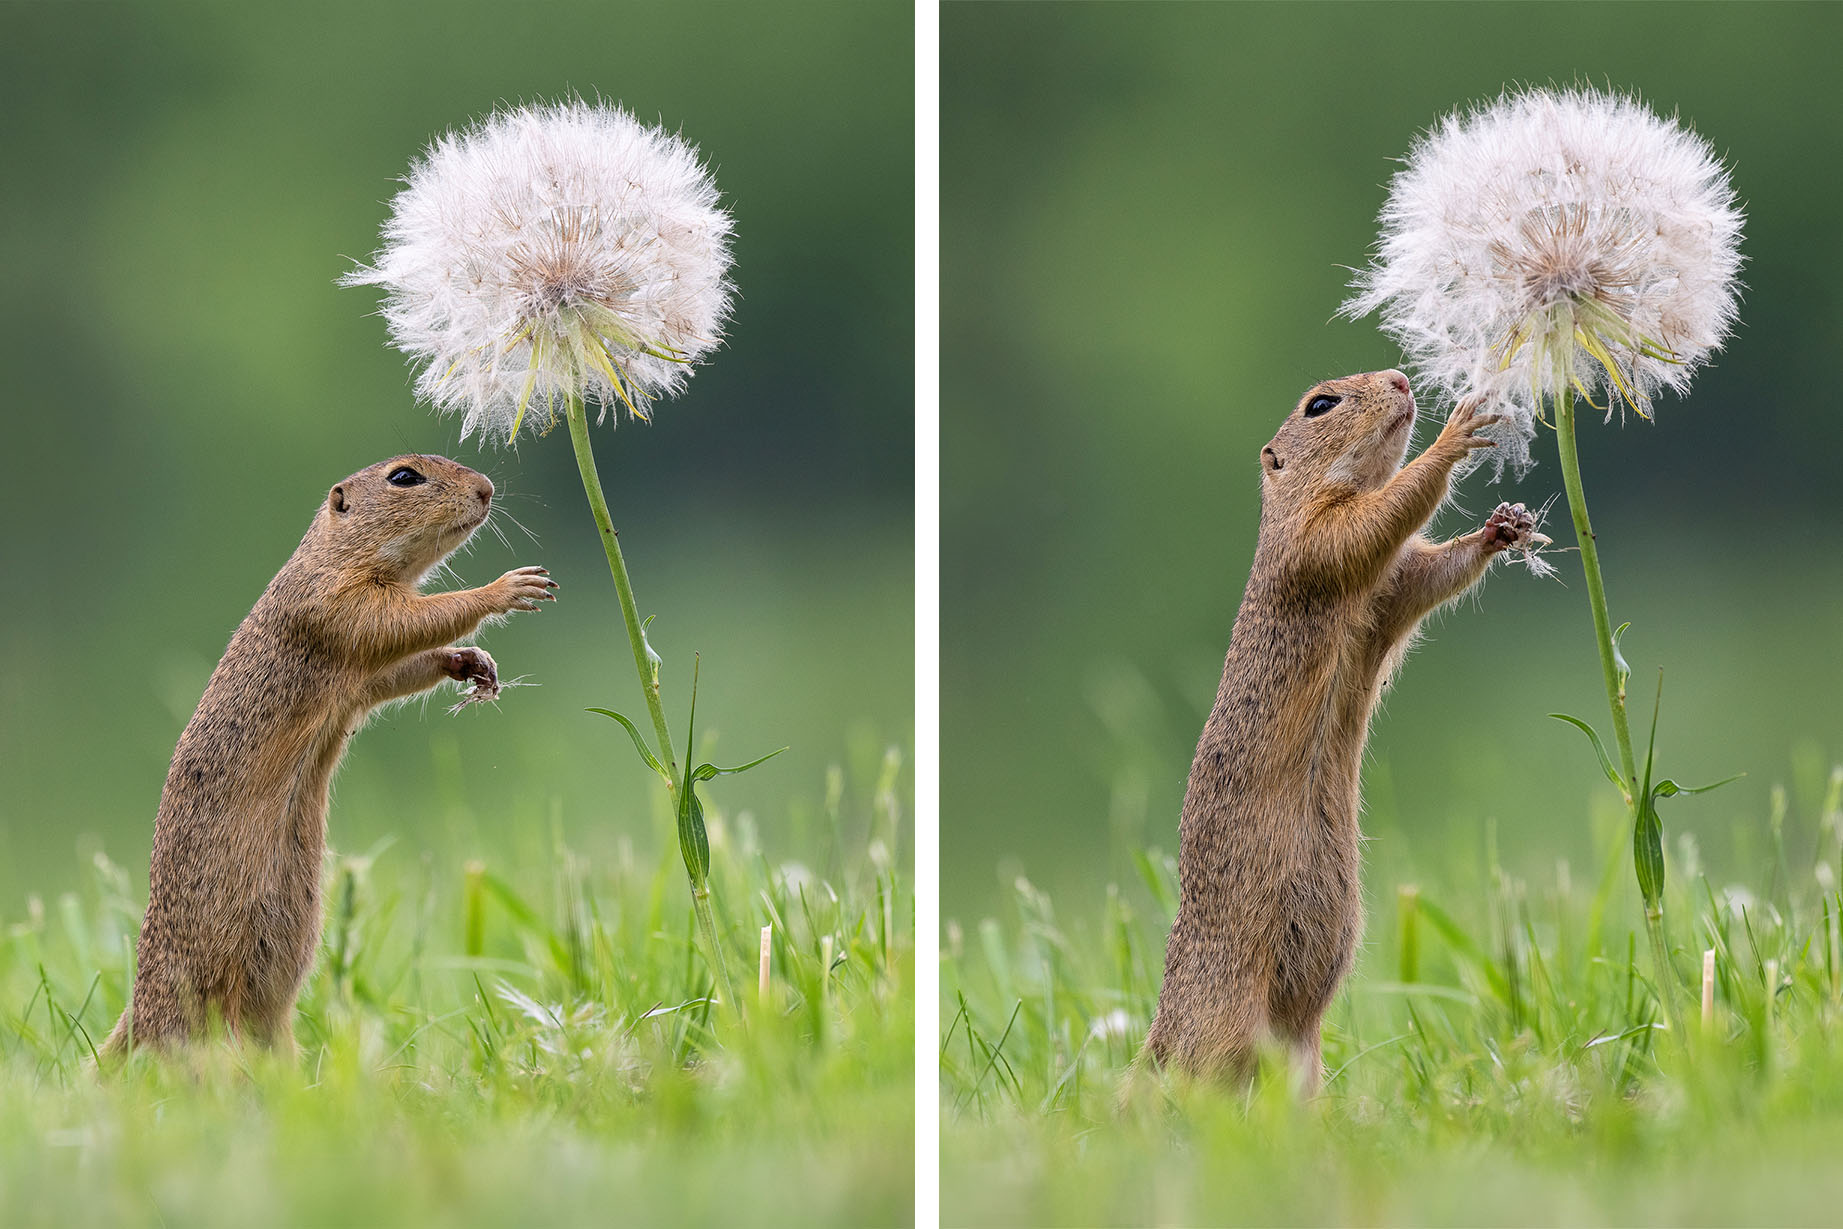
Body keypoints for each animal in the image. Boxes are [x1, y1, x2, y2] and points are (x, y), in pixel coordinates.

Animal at [101, 454, 557, 1056]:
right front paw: (510, 587)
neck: (332, 555)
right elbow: (407, 620)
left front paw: (471, 662)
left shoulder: (358, 677)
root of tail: (141, 1012)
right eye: (404, 477)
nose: (486, 489)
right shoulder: (338, 603)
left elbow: (395, 669)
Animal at [1140, 370, 1541, 1091]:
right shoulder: (1315, 538)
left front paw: (1503, 527)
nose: (1402, 378)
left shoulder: (1394, 585)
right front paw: (1456, 435)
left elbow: (1429, 573)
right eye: (1319, 404)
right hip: (1221, 1022)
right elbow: (1376, 518)